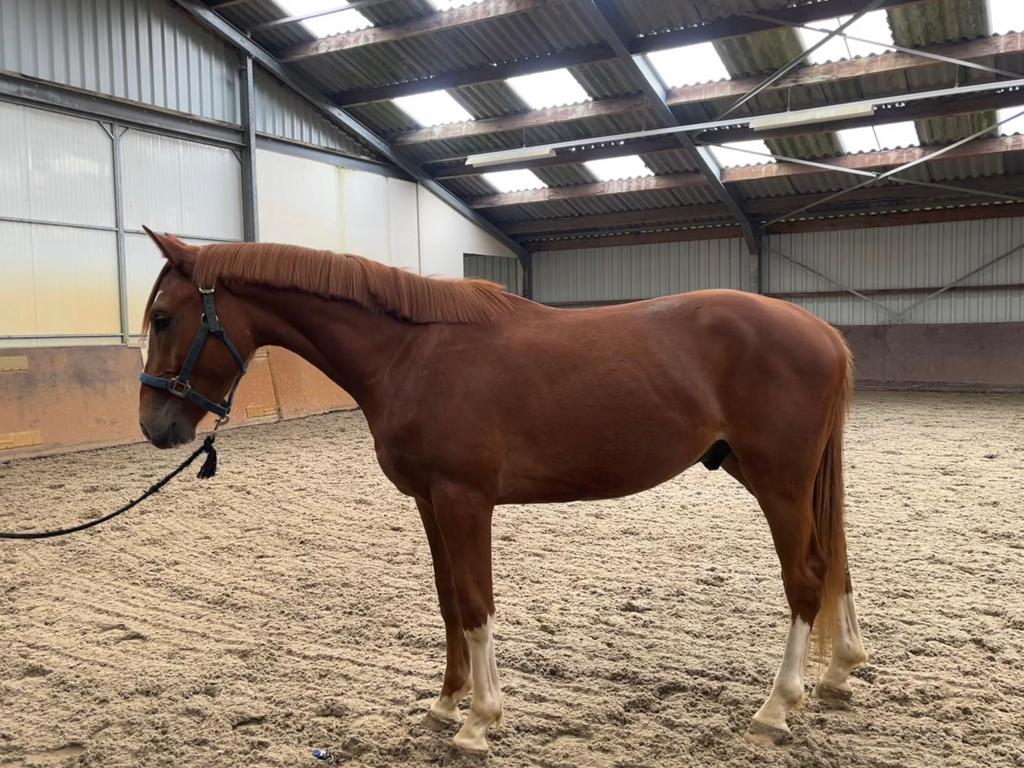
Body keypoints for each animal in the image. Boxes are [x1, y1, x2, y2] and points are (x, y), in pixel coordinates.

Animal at [137, 228, 867, 753]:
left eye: (165, 318)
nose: (154, 425)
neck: (411, 353)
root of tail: (824, 332)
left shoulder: (465, 500)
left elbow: (476, 603)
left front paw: (479, 721)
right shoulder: (429, 500)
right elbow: (447, 602)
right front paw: (444, 705)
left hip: (779, 479)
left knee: (805, 578)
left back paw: (776, 709)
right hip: (768, 473)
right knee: (833, 565)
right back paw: (836, 674)